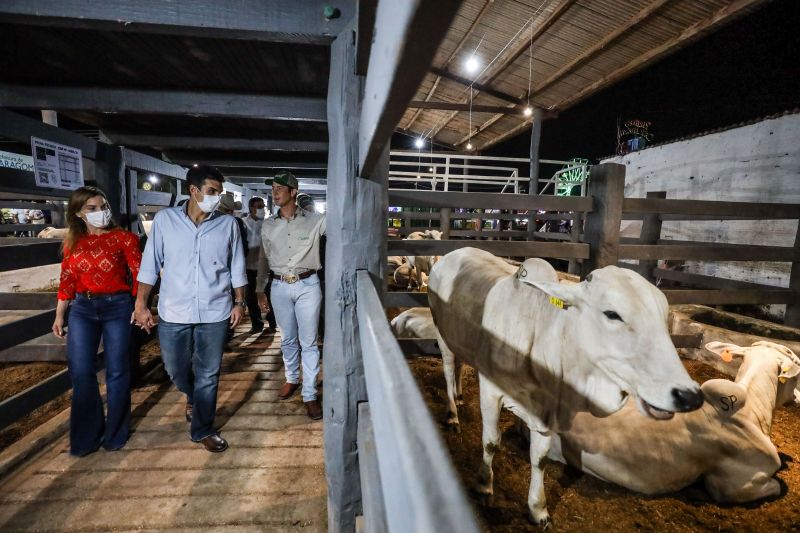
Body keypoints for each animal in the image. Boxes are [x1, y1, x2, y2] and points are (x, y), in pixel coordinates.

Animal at [428, 248, 704, 524]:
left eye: (663, 317)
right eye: (612, 314)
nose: (689, 396)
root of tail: (454, 253)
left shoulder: (547, 411)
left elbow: (539, 459)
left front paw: (538, 509)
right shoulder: (491, 391)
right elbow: (491, 442)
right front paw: (485, 486)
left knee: (460, 364)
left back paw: (460, 395)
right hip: (442, 335)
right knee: (448, 368)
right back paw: (452, 413)